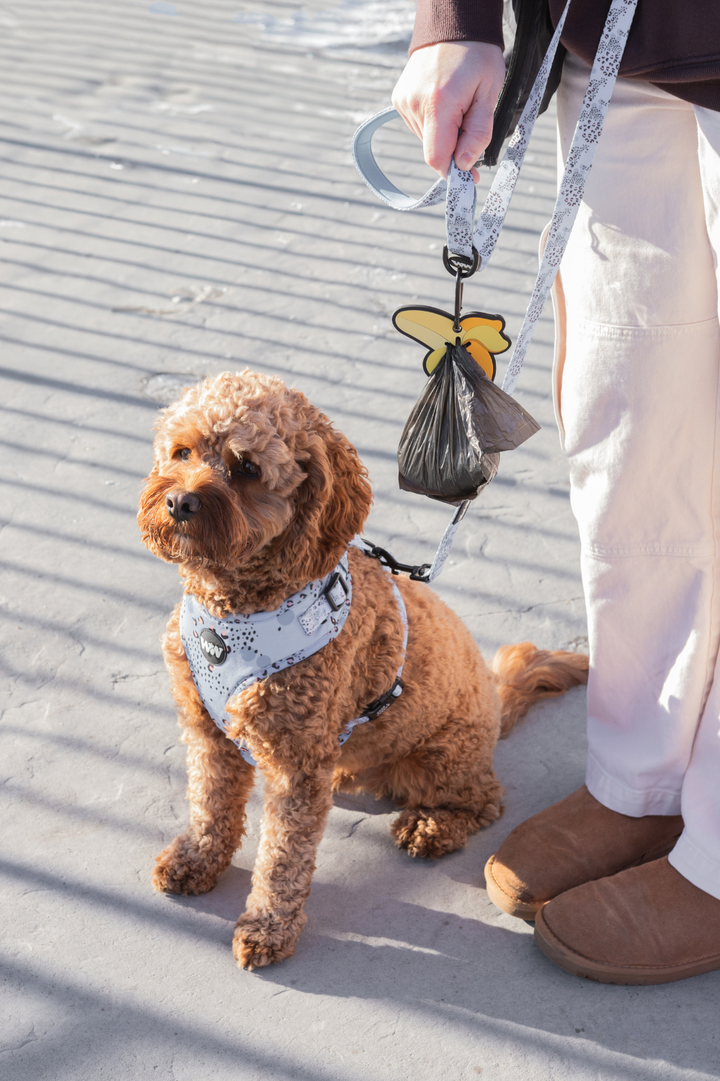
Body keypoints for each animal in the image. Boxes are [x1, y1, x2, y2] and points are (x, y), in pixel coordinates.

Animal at [137, 369, 588, 972]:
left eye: (247, 469)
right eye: (181, 452)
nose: (179, 502)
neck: (235, 614)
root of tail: (496, 702)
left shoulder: (296, 767)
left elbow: (282, 857)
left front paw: (268, 927)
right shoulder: (208, 732)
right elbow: (210, 806)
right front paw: (197, 862)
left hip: (440, 757)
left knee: (485, 800)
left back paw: (432, 826)